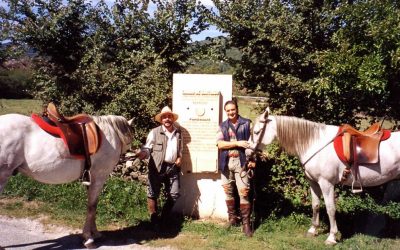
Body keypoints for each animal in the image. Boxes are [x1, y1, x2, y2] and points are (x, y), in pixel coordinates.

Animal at [0, 114, 134, 248]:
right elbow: (92, 206)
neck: (110, 134)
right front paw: (89, 238)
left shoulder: (90, 179)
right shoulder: (99, 178)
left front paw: (95, 233)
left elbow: (91, 206)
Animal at [250, 108, 400, 244]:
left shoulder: (326, 184)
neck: (314, 143)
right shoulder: (313, 182)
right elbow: (315, 205)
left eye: (257, 132)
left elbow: (330, 209)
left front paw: (332, 237)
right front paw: (313, 230)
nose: (248, 152)